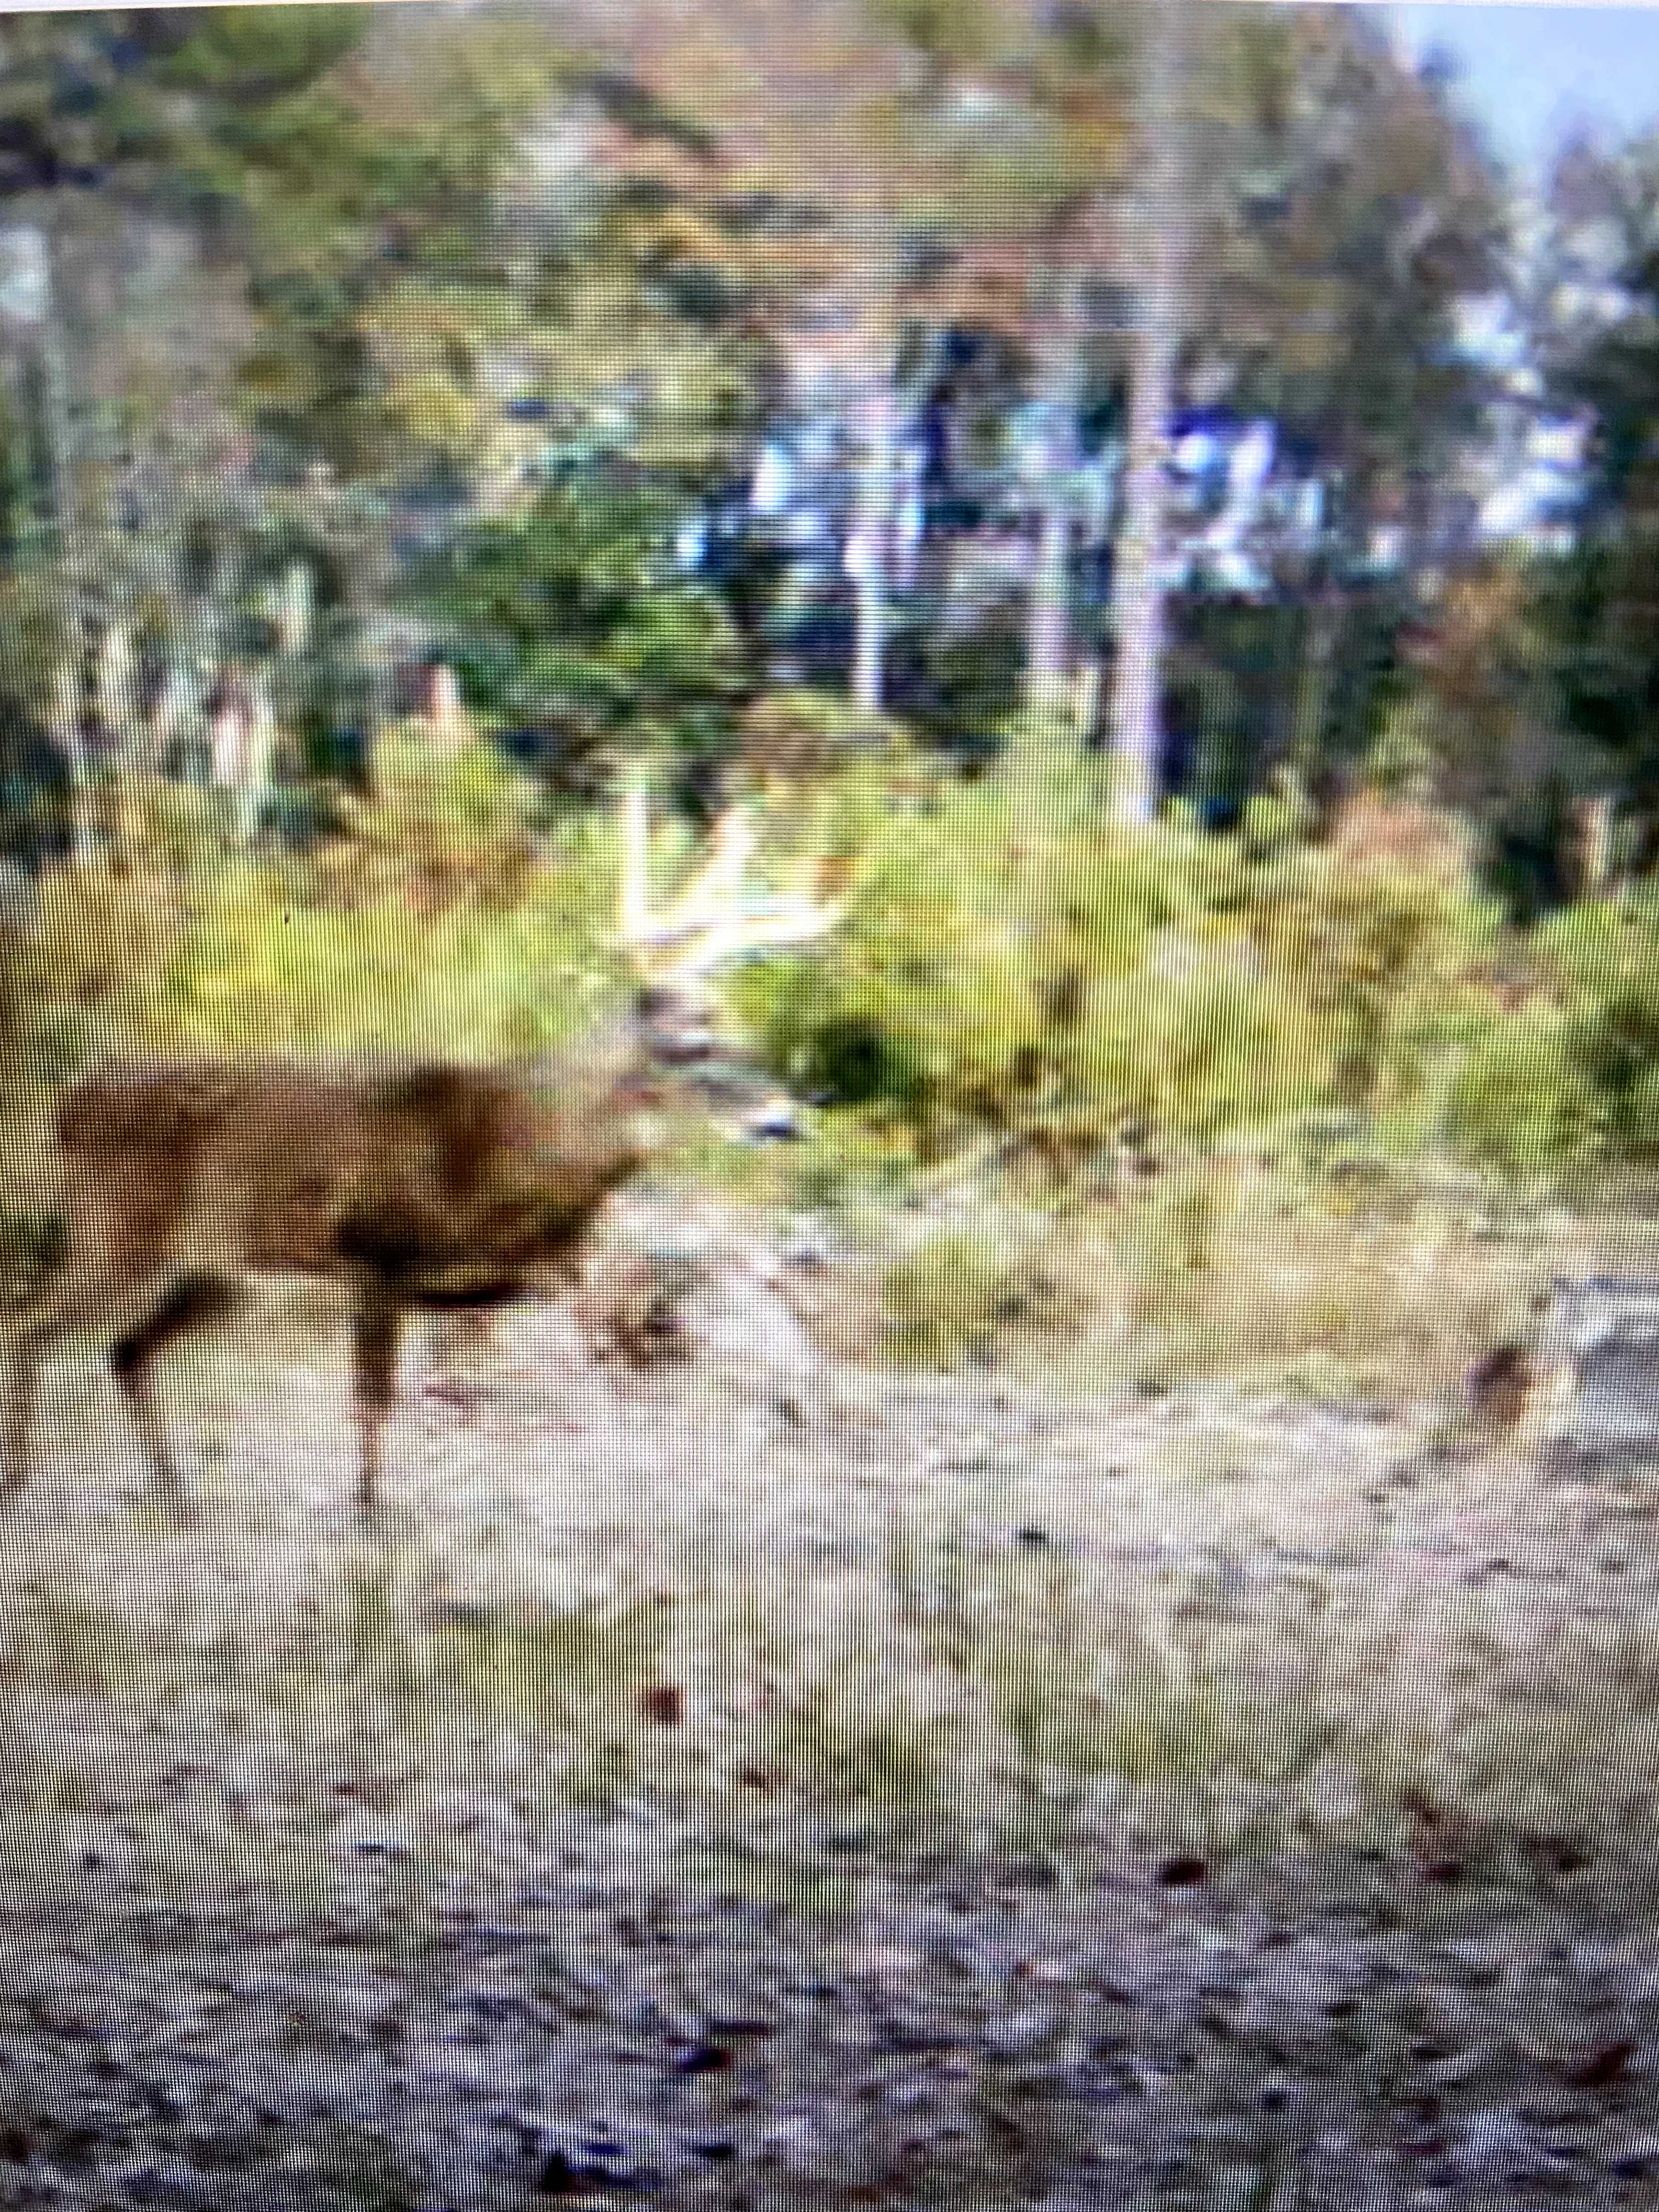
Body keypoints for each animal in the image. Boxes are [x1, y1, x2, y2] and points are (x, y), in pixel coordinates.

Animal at [0, 770, 842, 1515]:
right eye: (694, 1045)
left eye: (742, 1030)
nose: (785, 1117)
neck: (518, 1149)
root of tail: (72, 1103)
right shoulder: (379, 1252)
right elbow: (376, 1395)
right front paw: (370, 1513)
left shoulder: (512, 1285)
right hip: (117, 1230)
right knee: (32, 1321)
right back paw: (25, 1479)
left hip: (221, 1269)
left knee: (127, 1349)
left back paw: (177, 1495)